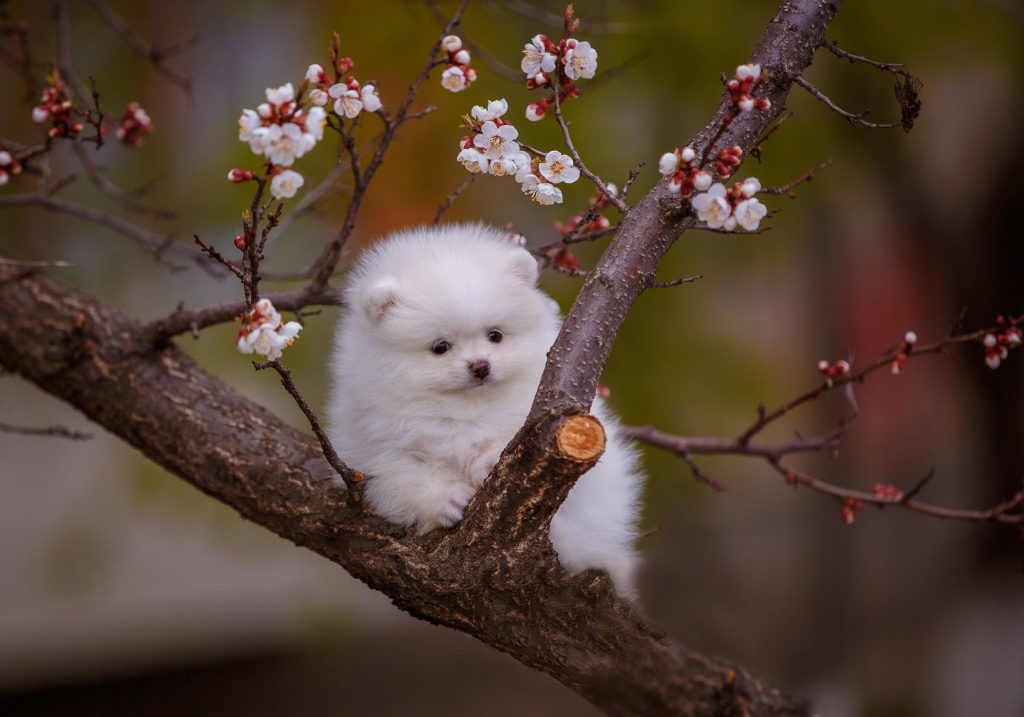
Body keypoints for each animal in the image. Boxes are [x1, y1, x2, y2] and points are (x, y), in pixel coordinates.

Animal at [323, 224, 643, 594]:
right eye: (441, 347)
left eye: (495, 336)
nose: (480, 366)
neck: (463, 409)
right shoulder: (372, 447)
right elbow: (404, 476)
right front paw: (447, 500)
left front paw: (489, 460)